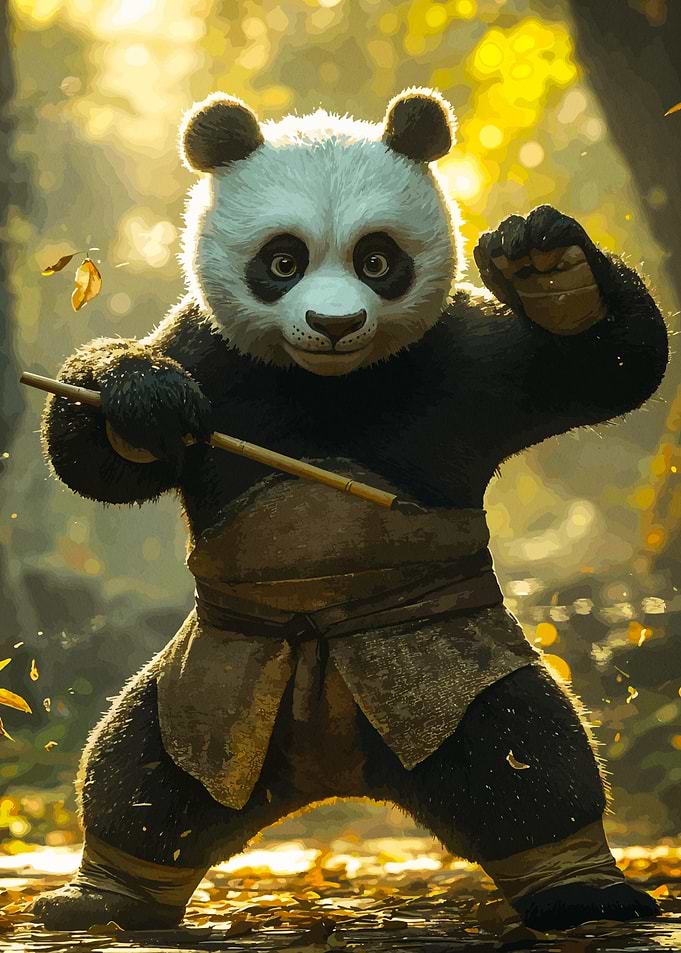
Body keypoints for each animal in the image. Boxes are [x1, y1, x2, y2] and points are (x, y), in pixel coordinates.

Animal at [32, 88, 667, 933]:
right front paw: (143, 401)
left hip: (451, 677)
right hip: (203, 697)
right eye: (282, 261)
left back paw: (581, 886)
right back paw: (101, 894)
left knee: (531, 764)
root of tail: (333, 766)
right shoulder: (212, 354)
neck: (326, 383)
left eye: (376, 260)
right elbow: (99, 459)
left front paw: (546, 266)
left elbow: (601, 369)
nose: (335, 326)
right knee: (137, 780)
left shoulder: (458, 358)